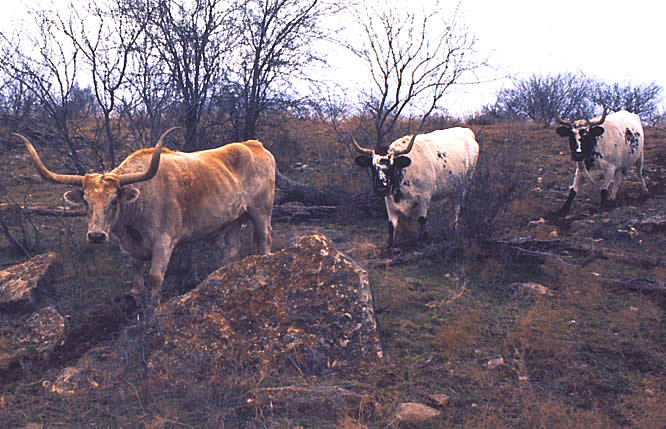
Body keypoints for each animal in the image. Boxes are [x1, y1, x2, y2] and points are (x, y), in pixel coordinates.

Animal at [14, 130, 274, 304]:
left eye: (114, 200)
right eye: (86, 201)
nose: (96, 236)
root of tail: (255, 145)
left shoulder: (164, 242)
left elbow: (155, 278)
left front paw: (153, 307)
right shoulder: (133, 247)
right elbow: (137, 270)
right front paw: (135, 295)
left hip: (261, 212)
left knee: (265, 238)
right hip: (233, 220)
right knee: (231, 250)